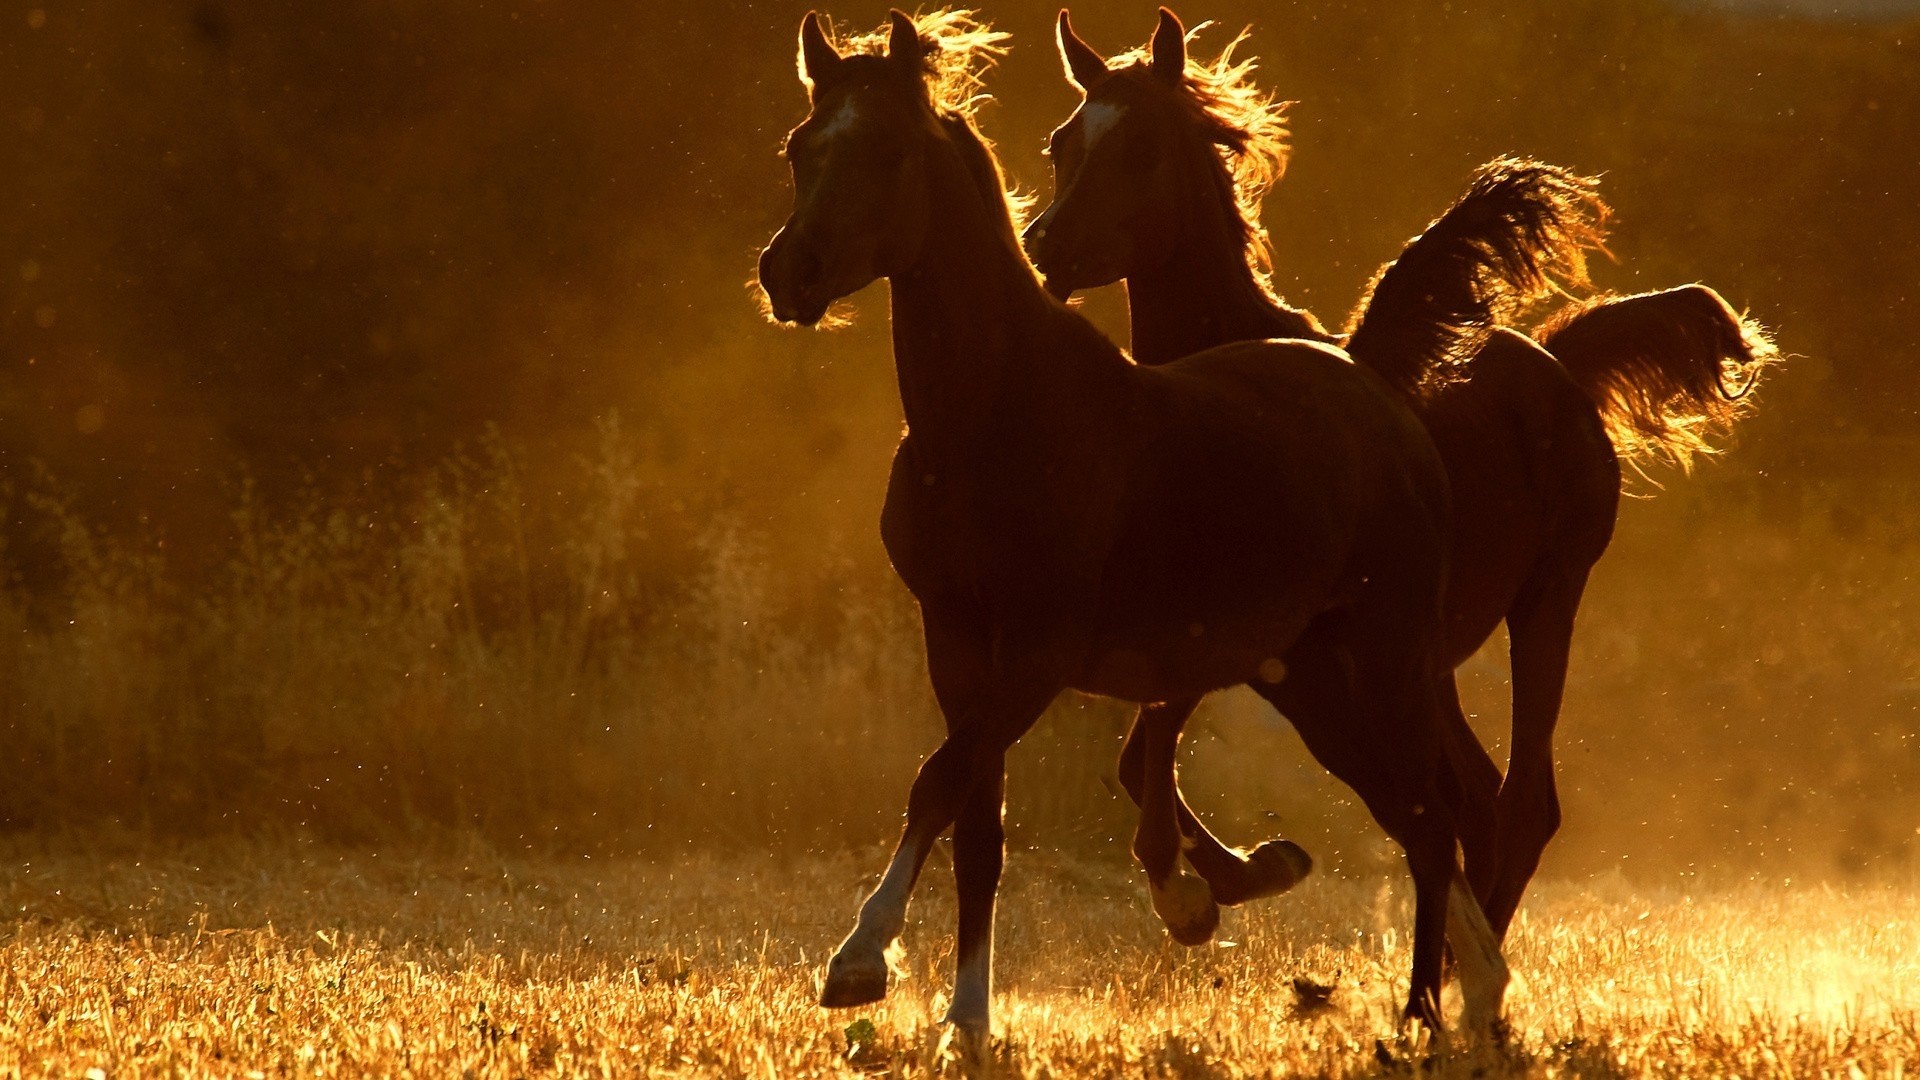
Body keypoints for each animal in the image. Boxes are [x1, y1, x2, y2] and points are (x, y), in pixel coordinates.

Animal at [754, 8, 1626, 1036]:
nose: (789, 272)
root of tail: (1383, 398)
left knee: (1454, 811)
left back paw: (1448, 1002)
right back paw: (1454, 991)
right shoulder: (959, 637)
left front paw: (858, 962)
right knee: (1427, 811)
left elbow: (945, 778)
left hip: (1442, 641)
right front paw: (967, 1020)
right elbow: (977, 822)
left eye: (888, 150)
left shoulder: (1046, 648)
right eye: (802, 147)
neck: (1000, 416)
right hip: (1320, 678)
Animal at [1025, 7, 1780, 942]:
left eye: (1142, 147)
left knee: (1520, 808)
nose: (1044, 246)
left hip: (1545, 603)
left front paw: (1199, 893)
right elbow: (1141, 756)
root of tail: (1556, 359)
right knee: (1478, 806)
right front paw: (1243, 875)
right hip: (1429, 664)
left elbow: (1148, 746)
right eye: (1062, 141)